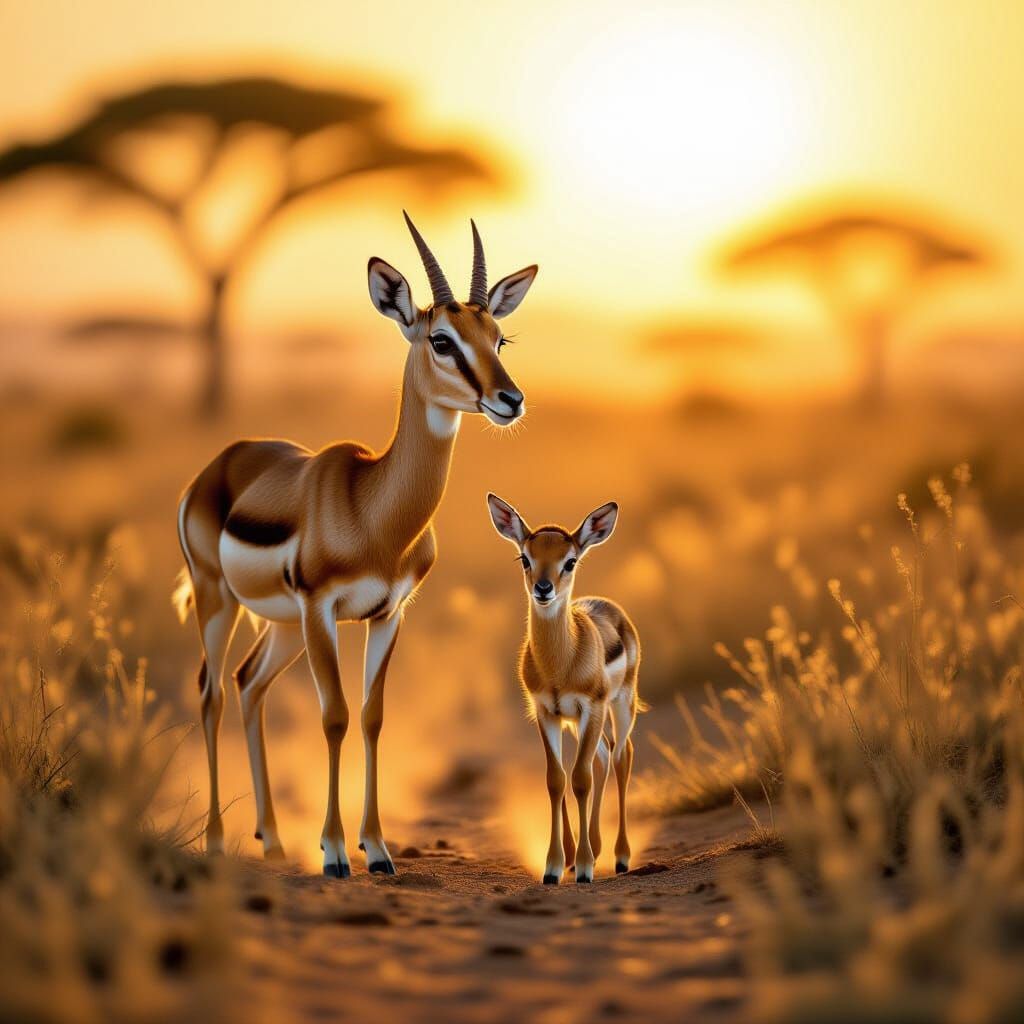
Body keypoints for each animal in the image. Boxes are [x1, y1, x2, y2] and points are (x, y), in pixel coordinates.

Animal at [175, 213, 537, 877]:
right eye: (441, 339)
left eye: (499, 339)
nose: (510, 400)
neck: (374, 510)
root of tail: (220, 463)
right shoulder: (323, 609)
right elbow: (336, 716)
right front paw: (338, 852)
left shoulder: (387, 614)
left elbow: (372, 717)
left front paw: (378, 849)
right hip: (222, 601)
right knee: (211, 692)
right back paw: (215, 841)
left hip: (283, 625)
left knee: (248, 684)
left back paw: (274, 841)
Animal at [486, 494, 642, 884]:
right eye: (525, 558)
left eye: (570, 561)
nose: (544, 589)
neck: (560, 664)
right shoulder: (547, 712)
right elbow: (556, 779)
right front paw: (555, 867)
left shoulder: (592, 707)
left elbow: (580, 779)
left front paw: (585, 868)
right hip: (577, 722)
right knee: (604, 755)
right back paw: (591, 851)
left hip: (621, 705)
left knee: (621, 756)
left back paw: (619, 857)